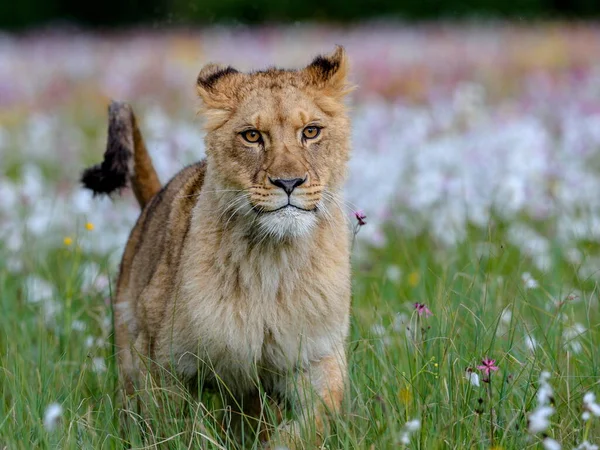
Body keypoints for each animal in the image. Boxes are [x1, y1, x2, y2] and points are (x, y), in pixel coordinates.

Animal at [84, 46, 354, 446]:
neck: (273, 262)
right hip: (129, 355)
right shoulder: (164, 363)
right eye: (252, 136)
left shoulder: (315, 355)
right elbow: (176, 431)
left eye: (311, 131)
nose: (289, 182)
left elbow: (315, 419)